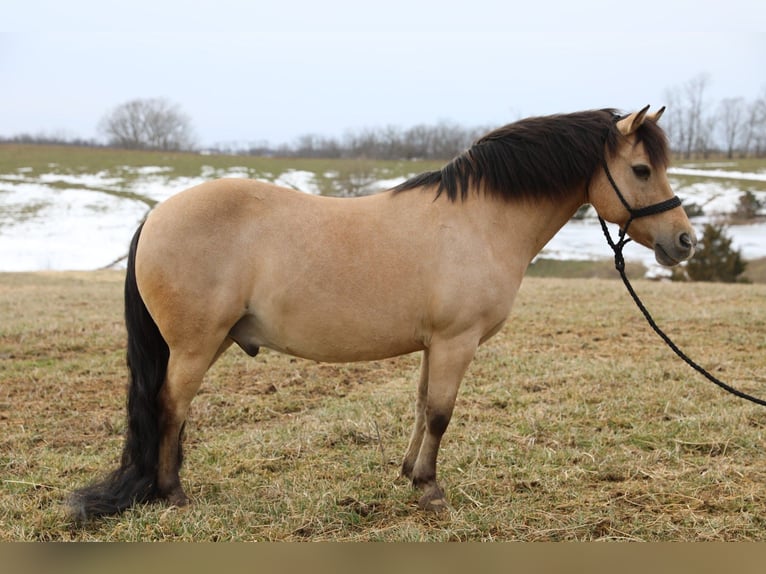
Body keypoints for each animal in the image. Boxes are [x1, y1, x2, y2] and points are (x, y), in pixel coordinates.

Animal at [70, 106, 696, 520]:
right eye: (642, 170)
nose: (685, 241)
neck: (481, 220)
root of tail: (156, 214)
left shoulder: (434, 344)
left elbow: (421, 407)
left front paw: (409, 475)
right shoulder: (456, 342)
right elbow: (441, 414)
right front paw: (432, 491)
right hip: (196, 345)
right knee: (171, 407)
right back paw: (173, 494)